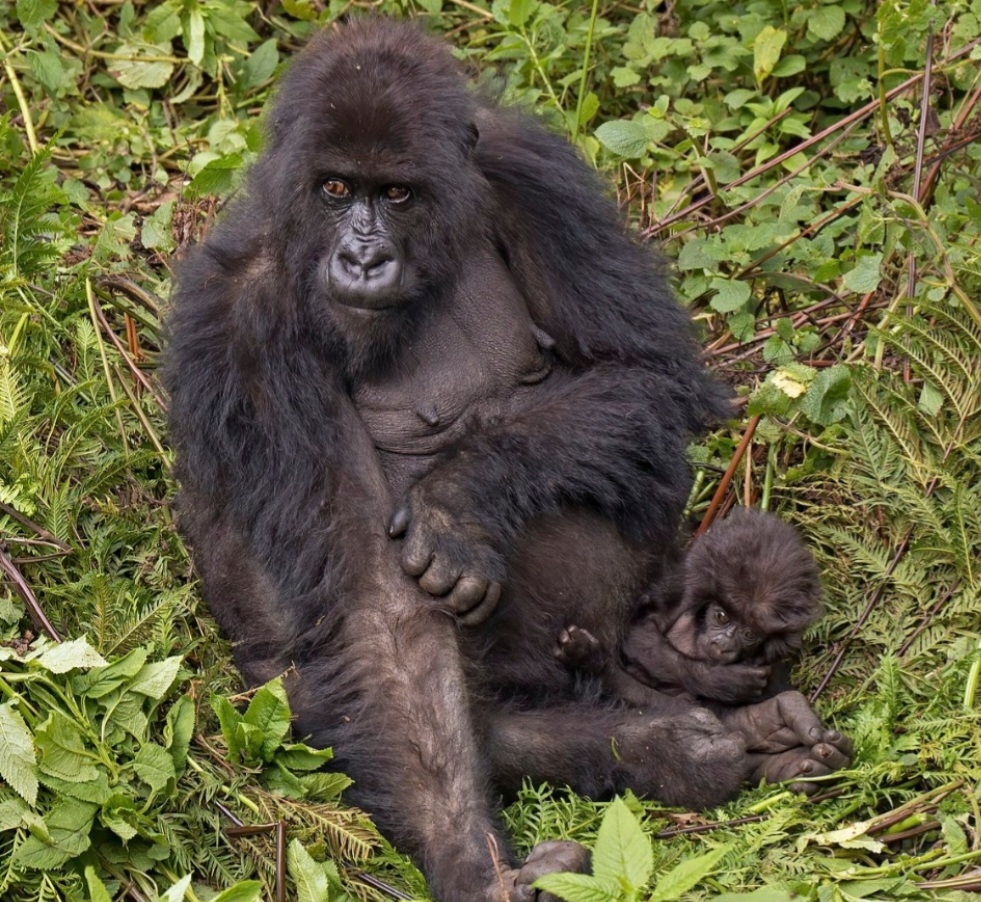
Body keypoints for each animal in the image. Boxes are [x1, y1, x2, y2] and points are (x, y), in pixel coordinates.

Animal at [556, 508, 824, 708]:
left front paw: (594, 664)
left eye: (749, 634)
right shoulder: (685, 586)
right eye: (722, 617)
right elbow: (641, 633)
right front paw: (720, 681)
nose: (724, 643)